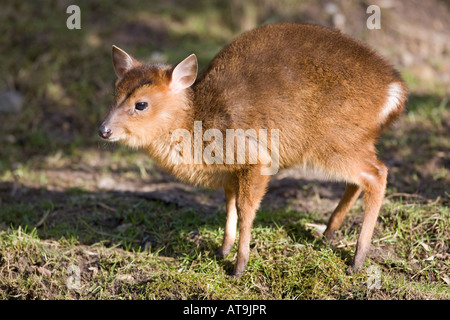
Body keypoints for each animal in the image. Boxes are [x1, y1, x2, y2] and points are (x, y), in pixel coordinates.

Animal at [99, 22, 408, 278]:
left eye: (141, 104)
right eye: (115, 93)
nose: (104, 130)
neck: (198, 123)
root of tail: (395, 91)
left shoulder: (255, 159)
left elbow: (246, 210)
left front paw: (238, 267)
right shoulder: (230, 173)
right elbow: (229, 206)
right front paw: (222, 251)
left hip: (333, 142)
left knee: (377, 173)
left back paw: (357, 261)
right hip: (354, 142)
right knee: (360, 179)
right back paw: (328, 233)